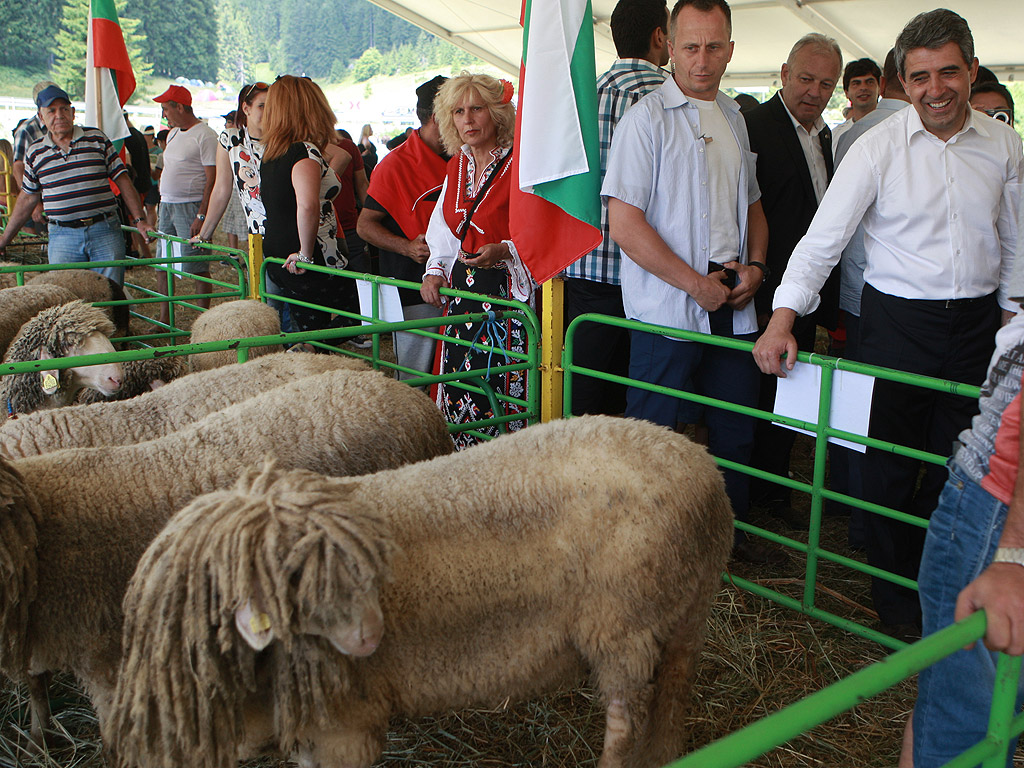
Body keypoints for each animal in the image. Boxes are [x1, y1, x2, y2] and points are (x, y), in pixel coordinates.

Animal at [105, 417, 737, 768]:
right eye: (292, 579)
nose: (371, 636)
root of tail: (699, 466)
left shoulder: (347, 726)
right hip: (690, 609)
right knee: (673, 698)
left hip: (623, 624)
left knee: (626, 721)